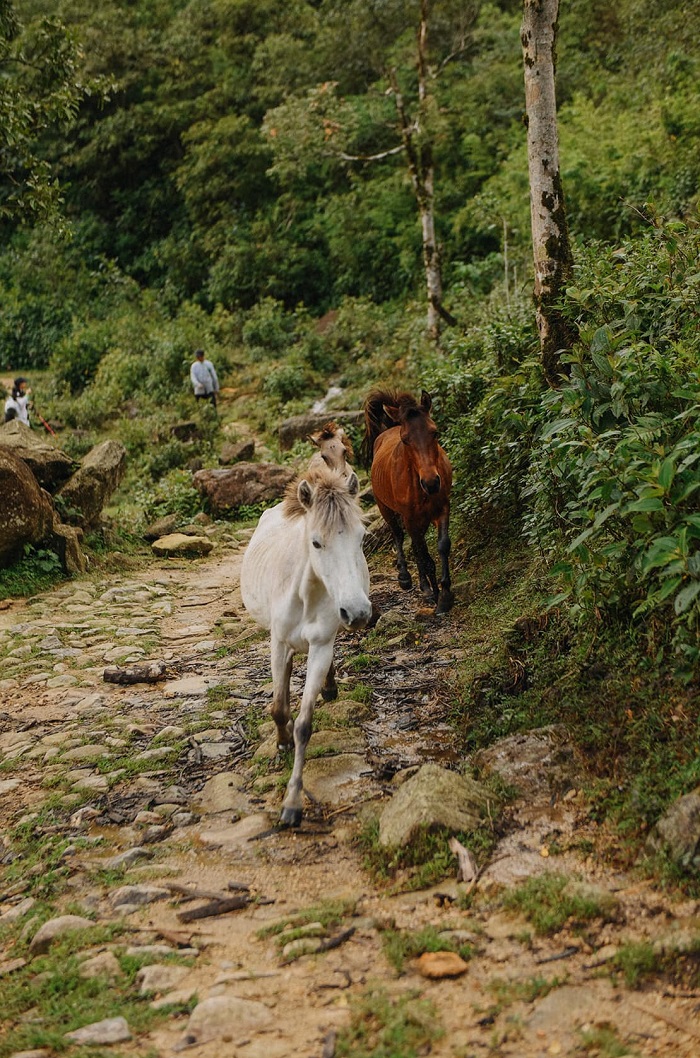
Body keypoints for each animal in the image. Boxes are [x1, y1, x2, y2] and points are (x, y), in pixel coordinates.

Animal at [241, 463, 372, 825]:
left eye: (361, 538)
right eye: (316, 542)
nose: (358, 612)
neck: (306, 594)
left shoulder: (321, 647)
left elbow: (303, 724)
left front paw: (292, 803)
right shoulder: (278, 644)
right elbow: (279, 707)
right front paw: (282, 743)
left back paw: (329, 687)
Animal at [361, 391, 454, 617]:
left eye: (434, 432)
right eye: (405, 440)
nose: (431, 483)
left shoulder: (442, 509)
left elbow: (442, 546)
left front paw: (445, 594)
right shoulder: (410, 518)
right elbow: (425, 555)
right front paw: (435, 595)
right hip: (387, 509)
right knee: (399, 535)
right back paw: (406, 578)